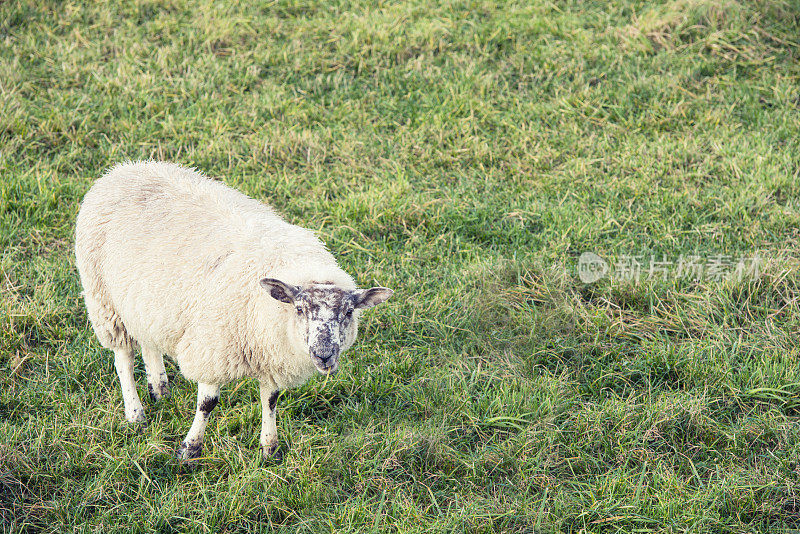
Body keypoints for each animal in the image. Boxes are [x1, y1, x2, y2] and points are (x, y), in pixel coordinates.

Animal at [73, 160, 392, 464]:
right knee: (123, 359)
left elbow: (271, 400)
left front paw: (270, 449)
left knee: (150, 342)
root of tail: (125, 169)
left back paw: (160, 390)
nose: (324, 355)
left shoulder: (269, 354)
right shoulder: (214, 347)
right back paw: (135, 413)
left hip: (146, 303)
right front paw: (189, 450)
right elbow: (207, 404)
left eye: (348, 313)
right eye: (300, 309)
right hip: (105, 302)